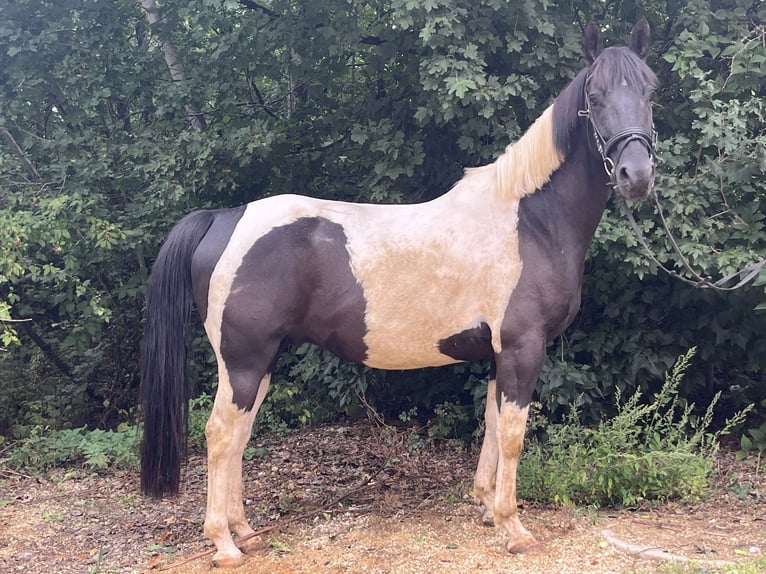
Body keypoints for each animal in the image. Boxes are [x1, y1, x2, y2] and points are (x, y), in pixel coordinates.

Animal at [140, 18, 657, 568]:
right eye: (595, 97)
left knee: (240, 434)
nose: (637, 175)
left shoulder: (499, 353)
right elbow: (513, 434)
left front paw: (485, 506)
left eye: (651, 91)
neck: (531, 222)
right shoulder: (523, 347)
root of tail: (226, 217)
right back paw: (223, 543)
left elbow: (492, 425)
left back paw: (246, 531)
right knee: (220, 435)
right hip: (243, 360)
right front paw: (514, 527)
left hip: (262, 361)